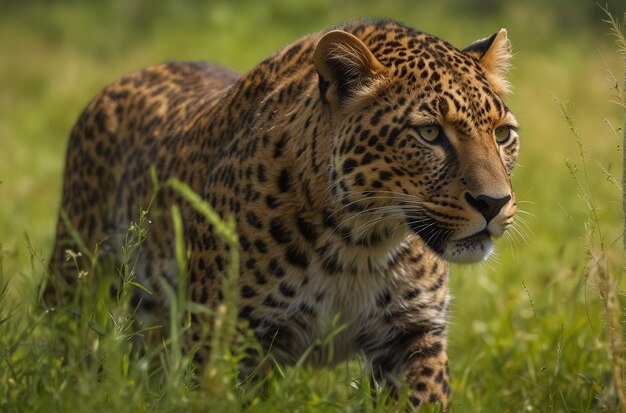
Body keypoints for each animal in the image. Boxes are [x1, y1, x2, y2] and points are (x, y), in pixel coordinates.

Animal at [46, 17, 516, 408]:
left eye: (502, 134)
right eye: (430, 133)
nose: (494, 203)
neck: (360, 243)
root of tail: (131, 76)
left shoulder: (414, 335)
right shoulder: (229, 340)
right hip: (78, 273)